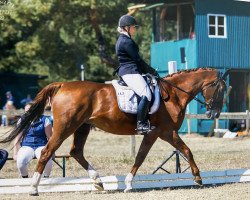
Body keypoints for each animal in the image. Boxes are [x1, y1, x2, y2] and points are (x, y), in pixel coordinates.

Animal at [0, 67, 229, 194]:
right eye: (220, 88)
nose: (214, 113)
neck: (172, 94)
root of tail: (62, 84)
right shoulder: (164, 132)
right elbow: (186, 150)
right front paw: (198, 178)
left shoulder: (152, 134)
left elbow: (140, 156)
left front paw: (128, 184)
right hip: (65, 127)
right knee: (48, 152)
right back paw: (33, 188)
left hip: (82, 127)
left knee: (76, 152)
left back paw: (98, 181)